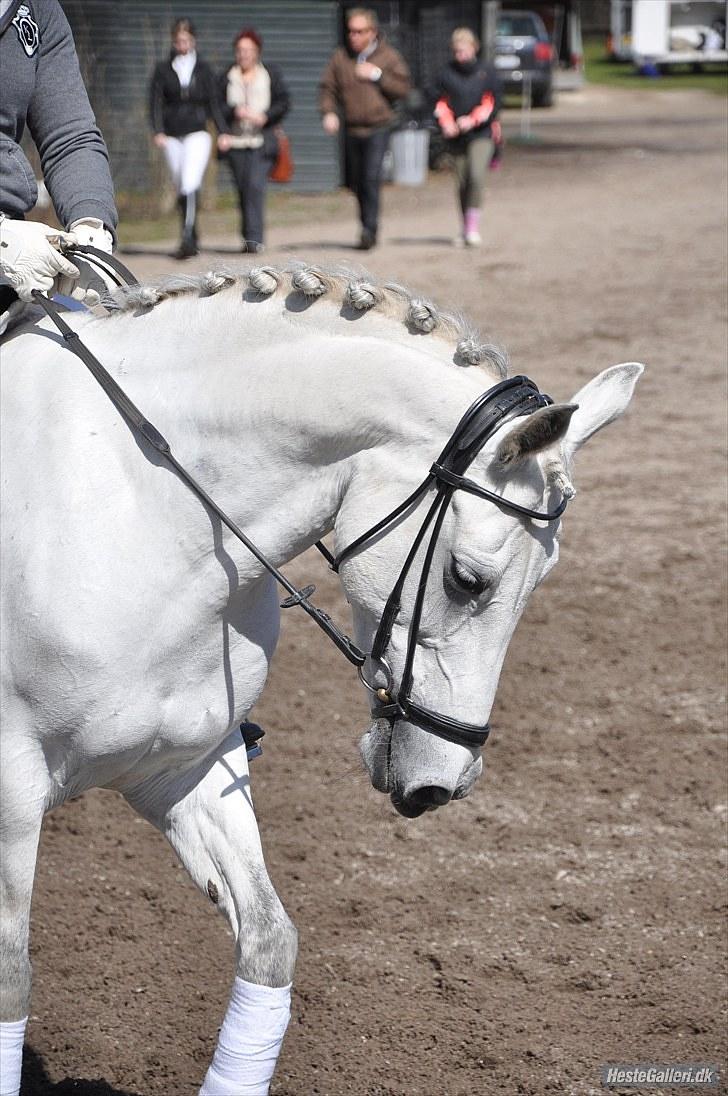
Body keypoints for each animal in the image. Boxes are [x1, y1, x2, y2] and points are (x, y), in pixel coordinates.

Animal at [0, 263, 642, 1095]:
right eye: (468, 580)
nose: (445, 784)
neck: (138, 510)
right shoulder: (11, 792)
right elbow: (12, 982)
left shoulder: (184, 768)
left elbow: (270, 942)